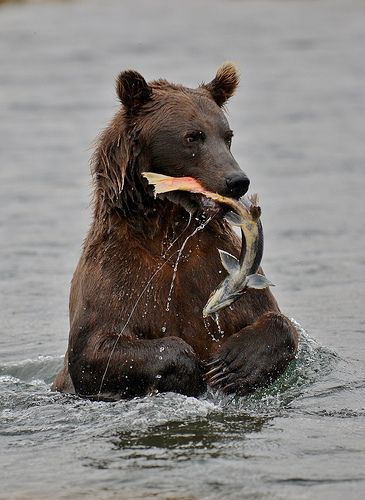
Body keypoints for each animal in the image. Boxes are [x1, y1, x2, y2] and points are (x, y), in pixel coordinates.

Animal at [53, 62, 298, 400]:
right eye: (193, 136)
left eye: (227, 136)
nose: (237, 180)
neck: (166, 230)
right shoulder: (115, 277)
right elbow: (93, 350)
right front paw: (189, 370)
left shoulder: (211, 267)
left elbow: (276, 320)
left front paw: (232, 363)